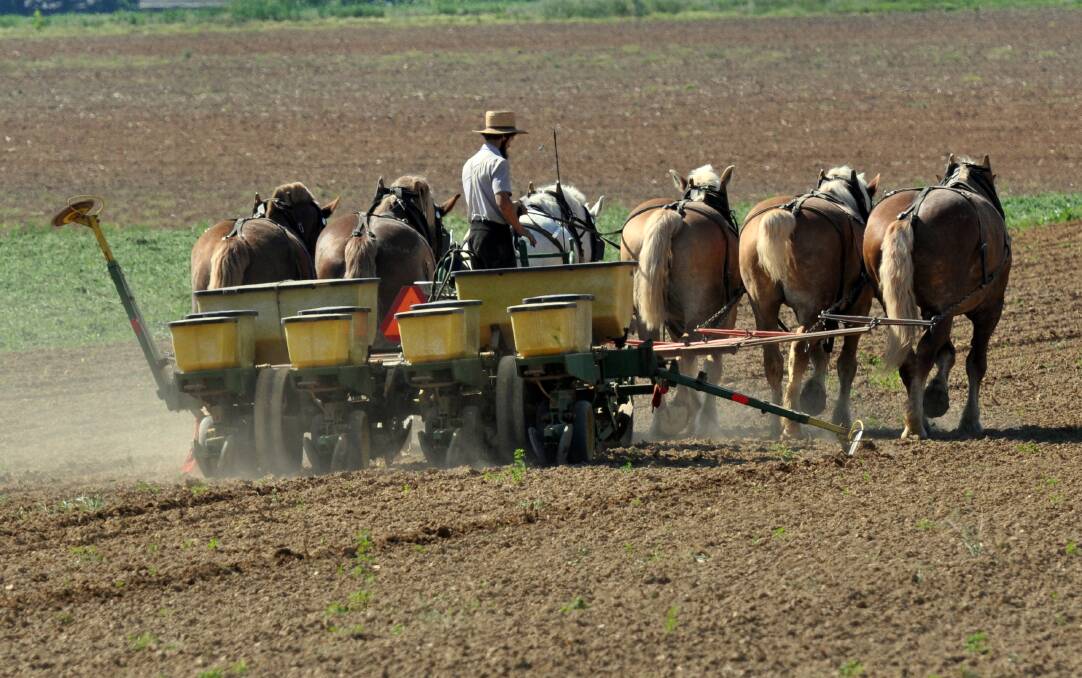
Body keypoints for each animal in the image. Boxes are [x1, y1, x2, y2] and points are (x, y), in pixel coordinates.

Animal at [621, 164, 742, 438]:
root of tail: (674, 217)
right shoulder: (724, 316)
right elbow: (711, 363)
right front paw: (706, 418)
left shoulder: (674, 319)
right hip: (700, 311)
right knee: (690, 351)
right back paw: (695, 415)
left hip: (646, 312)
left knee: (656, 353)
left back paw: (662, 421)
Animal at [739, 166, 880, 438]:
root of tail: (787, 214)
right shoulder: (857, 309)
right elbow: (846, 364)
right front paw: (840, 418)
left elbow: (819, 354)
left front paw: (815, 395)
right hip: (811, 307)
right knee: (798, 350)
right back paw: (792, 425)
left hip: (763, 307)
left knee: (773, 359)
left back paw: (776, 422)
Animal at [864, 154, 1010, 439]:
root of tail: (907, 217)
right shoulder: (989, 310)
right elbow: (975, 363)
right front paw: (969, 420)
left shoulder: (930, 311)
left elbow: (947, 354)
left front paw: (935, 396)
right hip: (949, 310)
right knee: (924, 356)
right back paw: (914, 424)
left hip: (902, 311)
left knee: (909, 359)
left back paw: (918, 415)